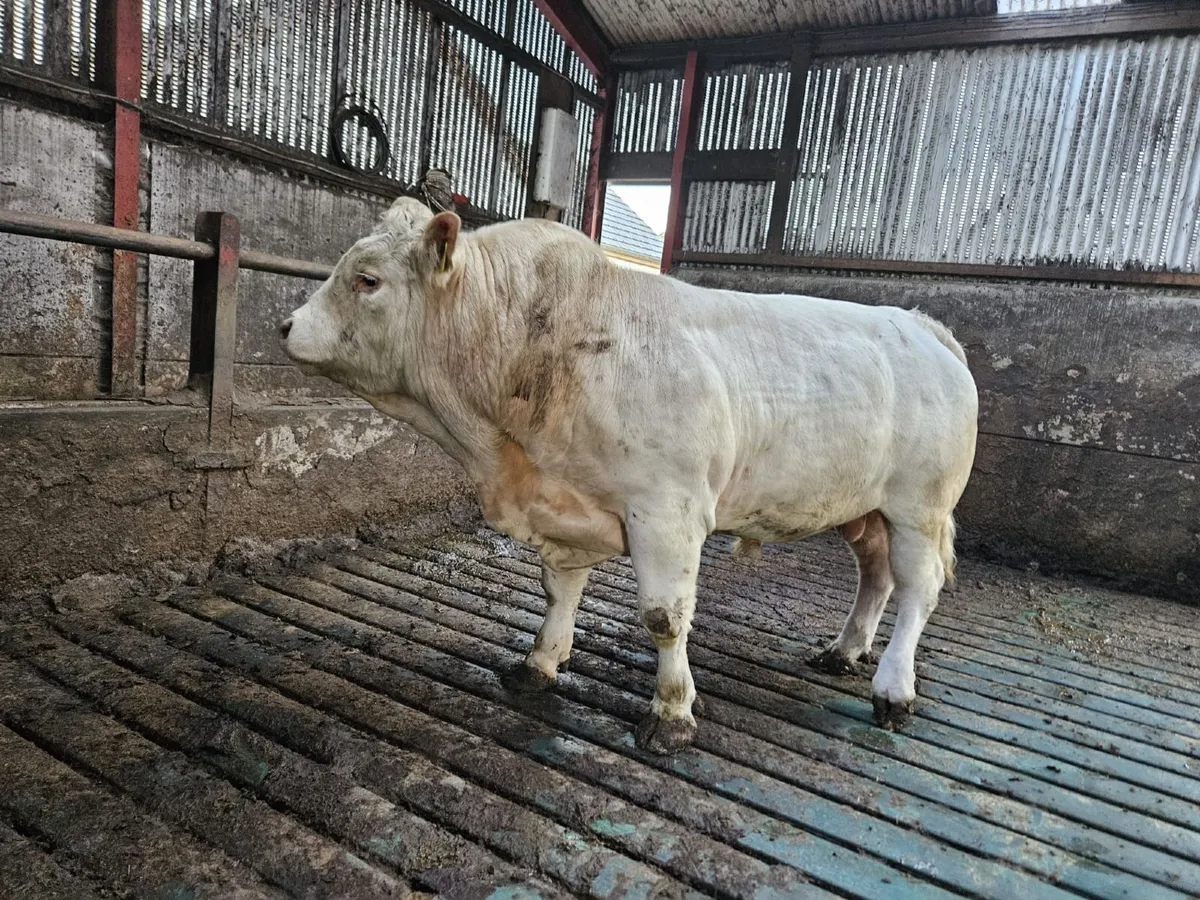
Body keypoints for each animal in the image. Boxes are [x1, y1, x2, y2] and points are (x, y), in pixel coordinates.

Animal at [280, 197, 978, 754]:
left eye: (367, 280)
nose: (285, 325)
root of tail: (924, 325)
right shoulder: (565, 503)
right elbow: (559, 592)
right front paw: (539, 663)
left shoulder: (667, 510)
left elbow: (664, 617)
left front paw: (672, 713)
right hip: (864, 506)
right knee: (876, 575)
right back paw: (844, 650)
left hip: (920, 507)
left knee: (918, 589)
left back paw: (893, 689)